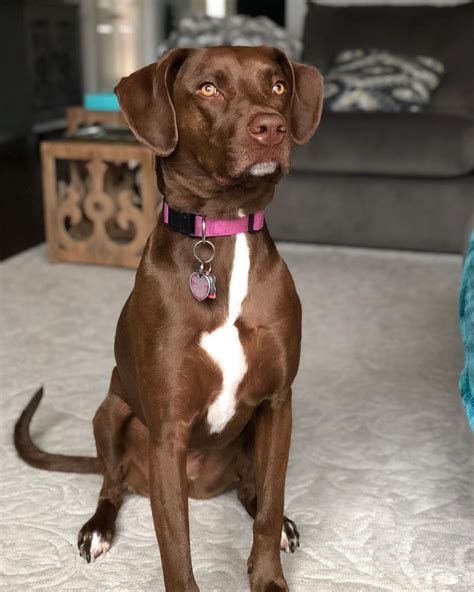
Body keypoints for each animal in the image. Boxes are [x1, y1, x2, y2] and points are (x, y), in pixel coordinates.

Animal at [15, 44, 326, 588]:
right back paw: (97, 528)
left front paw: (268, 577)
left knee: (252, 491)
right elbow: (176, 547)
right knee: (111, 483)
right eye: (208, 87)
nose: (271, 127)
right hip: (110, 413)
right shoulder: (168, 432)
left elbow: (269, 508)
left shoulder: (277, 405)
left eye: (278, 86)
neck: (222, 233)